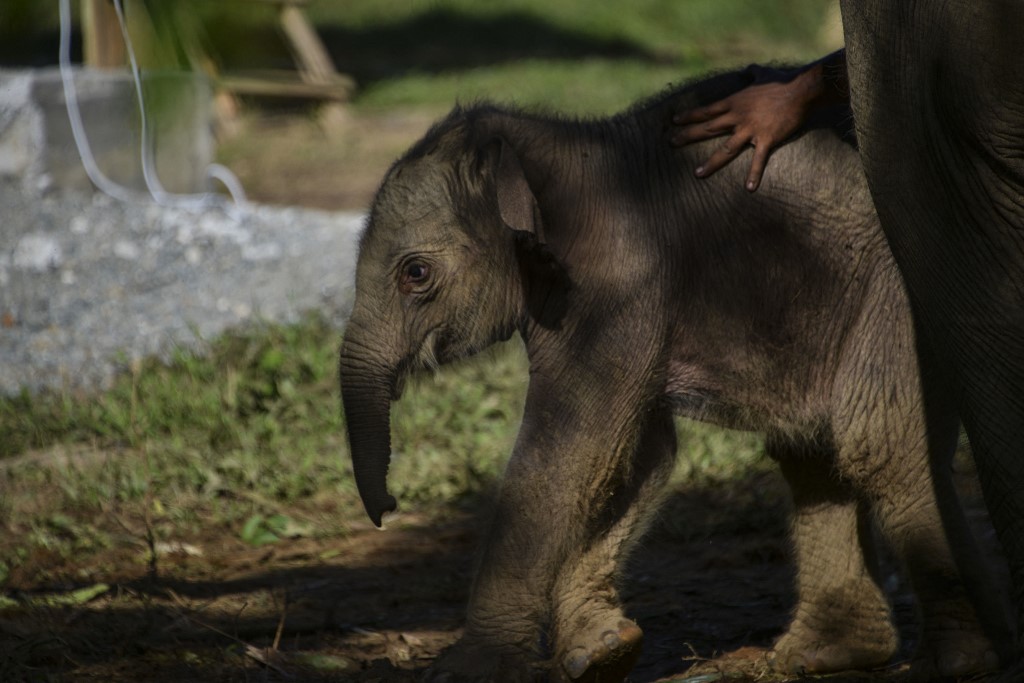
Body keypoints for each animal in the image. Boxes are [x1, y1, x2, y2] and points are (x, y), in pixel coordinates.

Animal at [338, 66, 1012, 682]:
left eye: (416, 274)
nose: (390, 506)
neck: (563, 145)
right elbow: (636, 456)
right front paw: (602, 652)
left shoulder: (613, 284)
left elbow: (568, 455)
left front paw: (469, 669)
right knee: (812, 449)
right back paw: (829, 655)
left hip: (903, 283)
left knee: (880, 444)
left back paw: (959, 660)